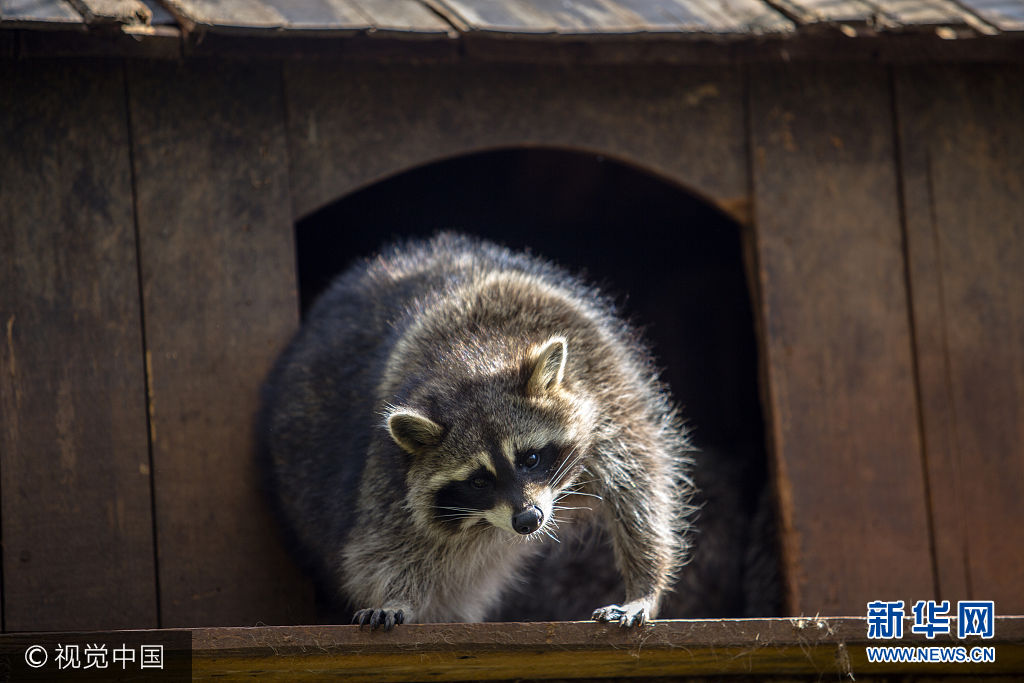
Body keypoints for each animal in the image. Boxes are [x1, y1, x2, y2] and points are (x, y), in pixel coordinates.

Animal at [256, 233, 696, 630]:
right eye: (479, 481)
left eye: (530, 458)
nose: (528, 520)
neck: (474, 359)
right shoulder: (389, 462)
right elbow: (388, 542)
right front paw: (397, 596)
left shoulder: (606, 387)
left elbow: (640, 488)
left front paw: (644, 584)